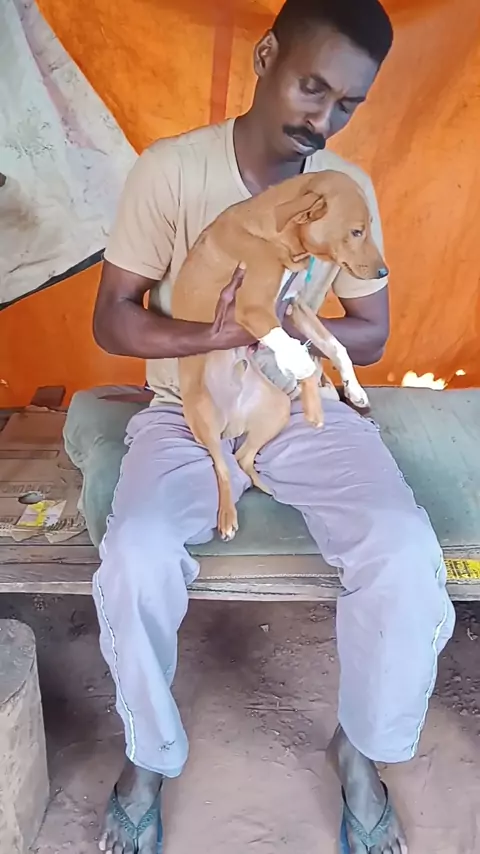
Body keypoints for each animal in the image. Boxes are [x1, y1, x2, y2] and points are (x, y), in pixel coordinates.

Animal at [171, 169, 388, 541]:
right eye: (357, 231)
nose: (384, 273)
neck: (274, 238)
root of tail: (233, 421)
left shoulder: (295, 308)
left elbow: (335, 345)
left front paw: (353, 388)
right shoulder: (253, 309)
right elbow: (294, 351)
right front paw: (309, 383)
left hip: (277, 410)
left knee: (243, 458)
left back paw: (261, 484)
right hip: (203, 418)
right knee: (221, 467)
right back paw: (227, 518)